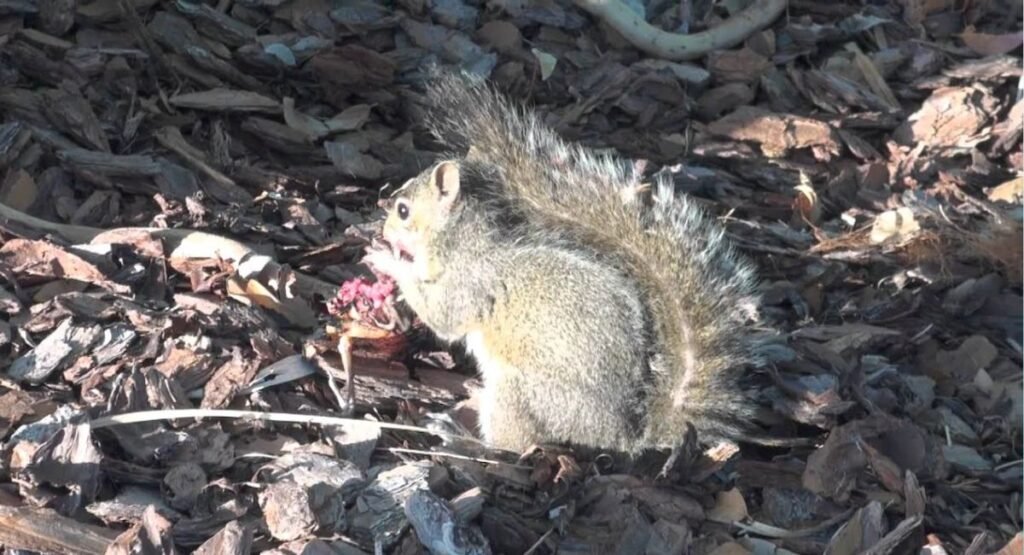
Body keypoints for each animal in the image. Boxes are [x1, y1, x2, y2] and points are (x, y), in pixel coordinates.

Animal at [363, 70, 784, 461]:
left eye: (404, 211)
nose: (384, 227)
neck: (462, 240)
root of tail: (621, 437)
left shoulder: (468, 285)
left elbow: (442, 317)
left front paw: (387, 258)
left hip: (521, 393)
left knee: (513, 446)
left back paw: (461, 436)